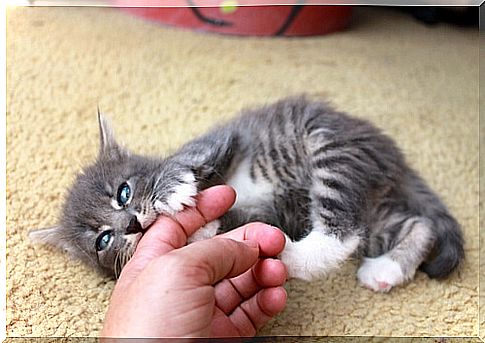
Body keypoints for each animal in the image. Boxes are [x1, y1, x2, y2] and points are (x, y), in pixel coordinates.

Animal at [28, 97, 464, 292]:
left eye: (123, 192)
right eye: (103, 240)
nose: (132, 224)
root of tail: (387, 149)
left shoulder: (221, 140)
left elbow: (187, 158)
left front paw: (171, 190)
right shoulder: (262, 211)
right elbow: (230, 220)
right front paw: (202, 232)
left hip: (331, 148)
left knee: (344, 226)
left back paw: (296, 256)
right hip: (373, 209)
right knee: (415, 224)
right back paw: (384, 266)